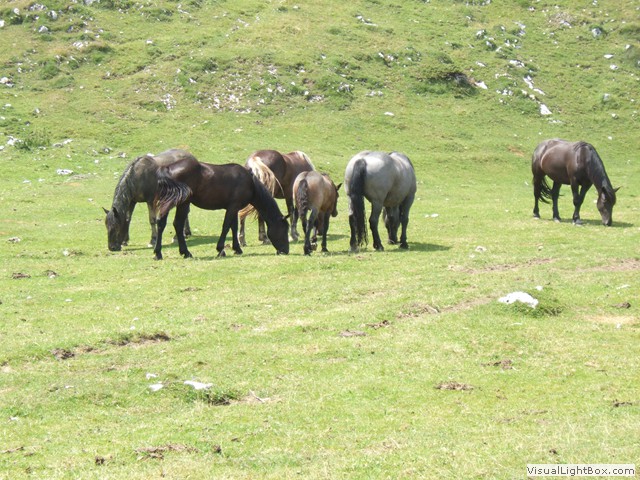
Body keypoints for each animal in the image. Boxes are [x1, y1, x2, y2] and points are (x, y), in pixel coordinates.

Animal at [153, 155, 289, 260]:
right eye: (284, 229)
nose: (285, 251)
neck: (250, 183)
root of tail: (167, 168)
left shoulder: (234, 208)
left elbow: (233, 227)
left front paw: (237, 248)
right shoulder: (233, 207)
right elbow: (226, 227)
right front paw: (221, 250)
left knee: (163, 223)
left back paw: (160, 253)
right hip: (182, 203)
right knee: (177, 224)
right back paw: (182, 252)